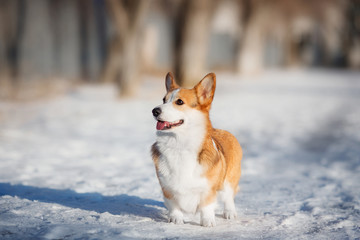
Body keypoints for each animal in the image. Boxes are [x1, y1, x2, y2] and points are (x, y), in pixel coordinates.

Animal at [151, 72, 242, 226]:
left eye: (179, 102)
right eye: (163, 100)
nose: (154, 111)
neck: (179, 146)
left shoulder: (208, 189)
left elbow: (206, 206)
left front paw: (207, 222)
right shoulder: (167, 188)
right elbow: (173, 206)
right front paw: (175, 219)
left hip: (229, 181)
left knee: (229, 197)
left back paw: (230, 213)